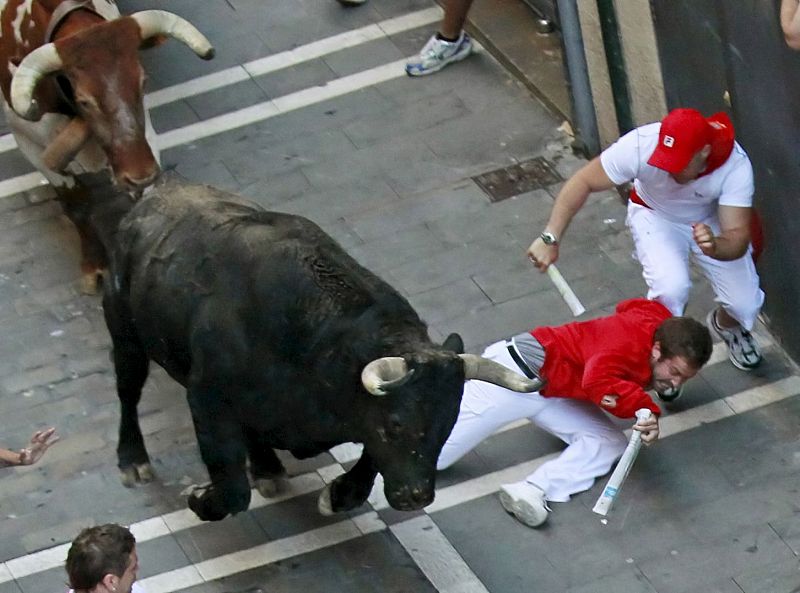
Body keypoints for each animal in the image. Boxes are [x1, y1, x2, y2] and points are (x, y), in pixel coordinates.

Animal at [0, 0, 216, 292]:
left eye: (143, 81)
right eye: (84, 100)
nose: (140, 175)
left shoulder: (145, 136)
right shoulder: (32, 147)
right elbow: (76, 206)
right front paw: (94, 266)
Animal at [90, 178, 536, 520]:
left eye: (449, 421)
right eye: (396, 424)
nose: (416, 498)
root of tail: (153, 197)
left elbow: (367, 463)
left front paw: (338, 495)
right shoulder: (206, 397)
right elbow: (231, 485)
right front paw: (201, 498)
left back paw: (268, 467)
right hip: (124, 333)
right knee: (127, 391)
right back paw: (133, 461)